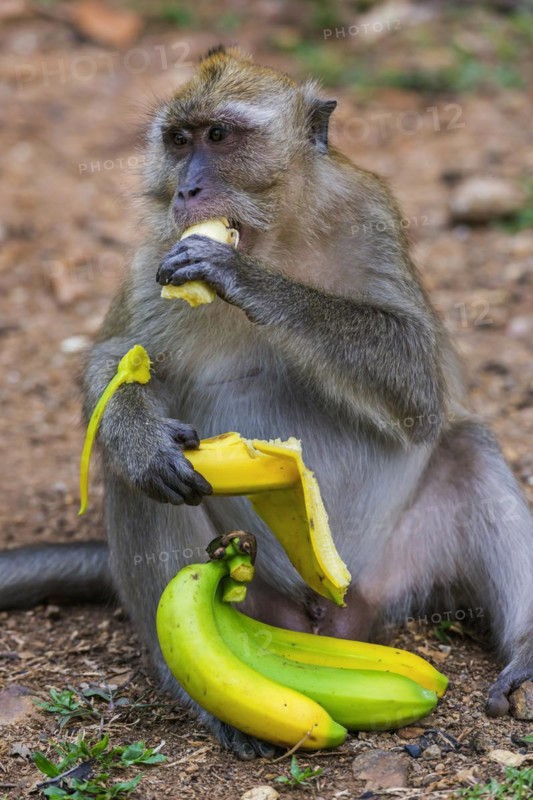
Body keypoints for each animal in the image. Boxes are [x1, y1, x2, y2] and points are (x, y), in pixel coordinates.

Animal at [1, 46, 532, 760]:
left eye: (220, 136)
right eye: (178, 142)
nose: (187, 191)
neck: (275, 236)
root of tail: (331, 615)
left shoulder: (372, 218)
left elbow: (420, 381)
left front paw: (244, 280)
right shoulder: (151, 257)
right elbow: (113, 360)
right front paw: (140, 435)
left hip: (404, 564)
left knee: (468, 446)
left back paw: (526, 651)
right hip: (258, 601)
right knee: (142, 483)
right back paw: (204, 692)